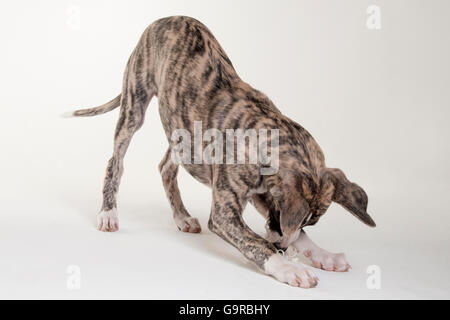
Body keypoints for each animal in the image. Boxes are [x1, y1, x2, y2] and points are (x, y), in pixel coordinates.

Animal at [72, 16, 376, 288]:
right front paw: (287, 266)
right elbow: (256, 242)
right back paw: (108, 213)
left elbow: (293, 233)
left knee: (166, 167)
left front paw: (323, 255)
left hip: (182, 132)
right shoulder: (225, 214)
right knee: (116, 161)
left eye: (311, 221)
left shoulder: (261, 193)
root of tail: (165, 19)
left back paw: (181, 216)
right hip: (134, 105)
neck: (266, 133)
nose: (282, 246)